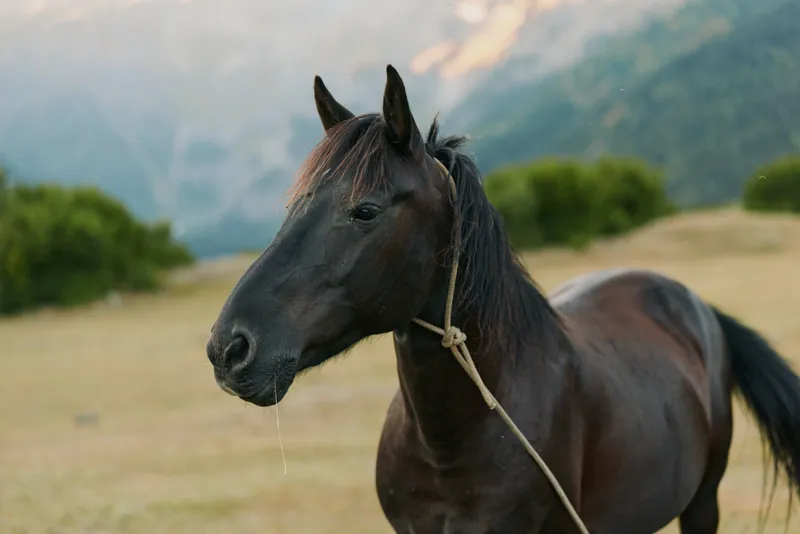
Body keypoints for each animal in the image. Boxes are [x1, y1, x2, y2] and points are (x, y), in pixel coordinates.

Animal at [205, 64, 800, 533]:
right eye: (294, 205)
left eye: (365, 210)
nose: (228, 347)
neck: (451, 445)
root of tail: (695, 305)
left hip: (703, 503)